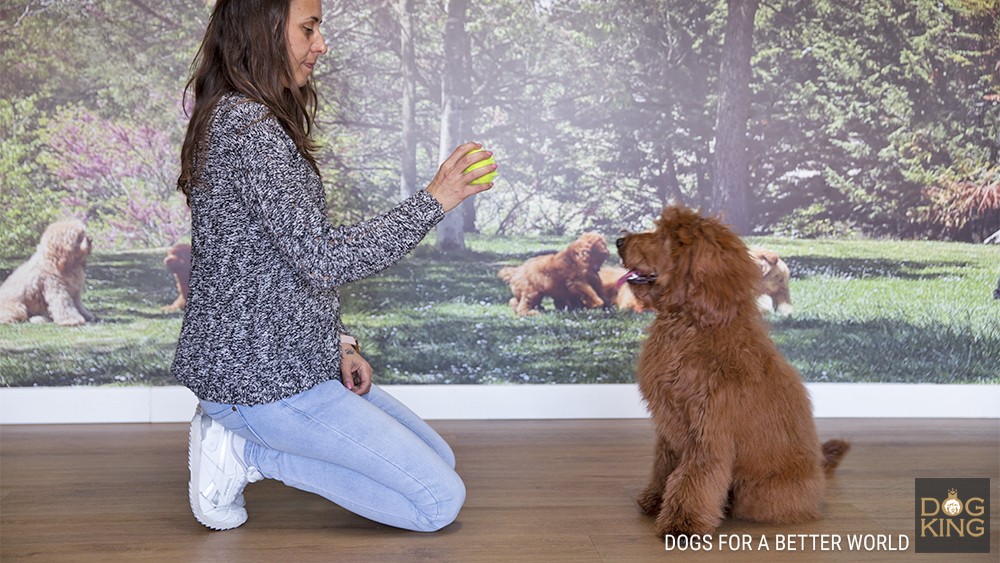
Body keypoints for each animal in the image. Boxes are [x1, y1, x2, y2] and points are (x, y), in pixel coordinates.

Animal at [612, 206, 848, 536]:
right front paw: (656, 500)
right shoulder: (669, 427)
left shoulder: (709, 431)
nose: (618, 241)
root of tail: (819, 473)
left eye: (664, 237)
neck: (691, 325)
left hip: (762, 492)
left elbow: (694, 477)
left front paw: (682, 522)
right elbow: (664, 466)